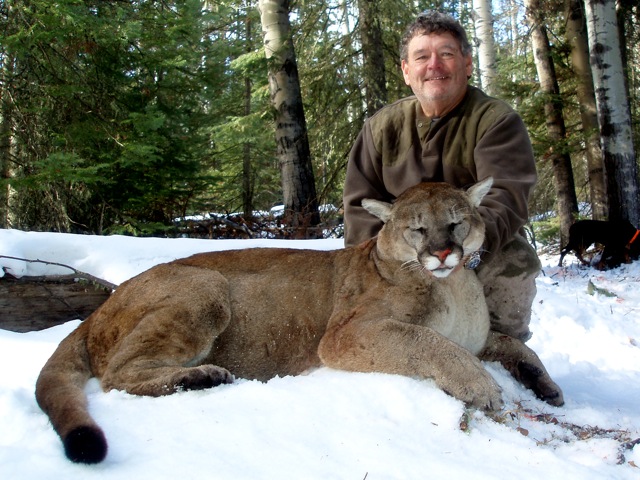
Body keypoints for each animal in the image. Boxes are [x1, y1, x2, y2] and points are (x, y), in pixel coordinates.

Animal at [35, 178, 563, 464]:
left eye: (455, 222)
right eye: (417, 229)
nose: (442, 253)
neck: (452, 287)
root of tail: (97, 309)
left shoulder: (479, 338)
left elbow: (515, 344)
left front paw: (545, 384)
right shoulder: (345, 336)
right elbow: (428, 342)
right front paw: (481, 387)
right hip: (203, 287)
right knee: (117, 375)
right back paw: (200, 377)